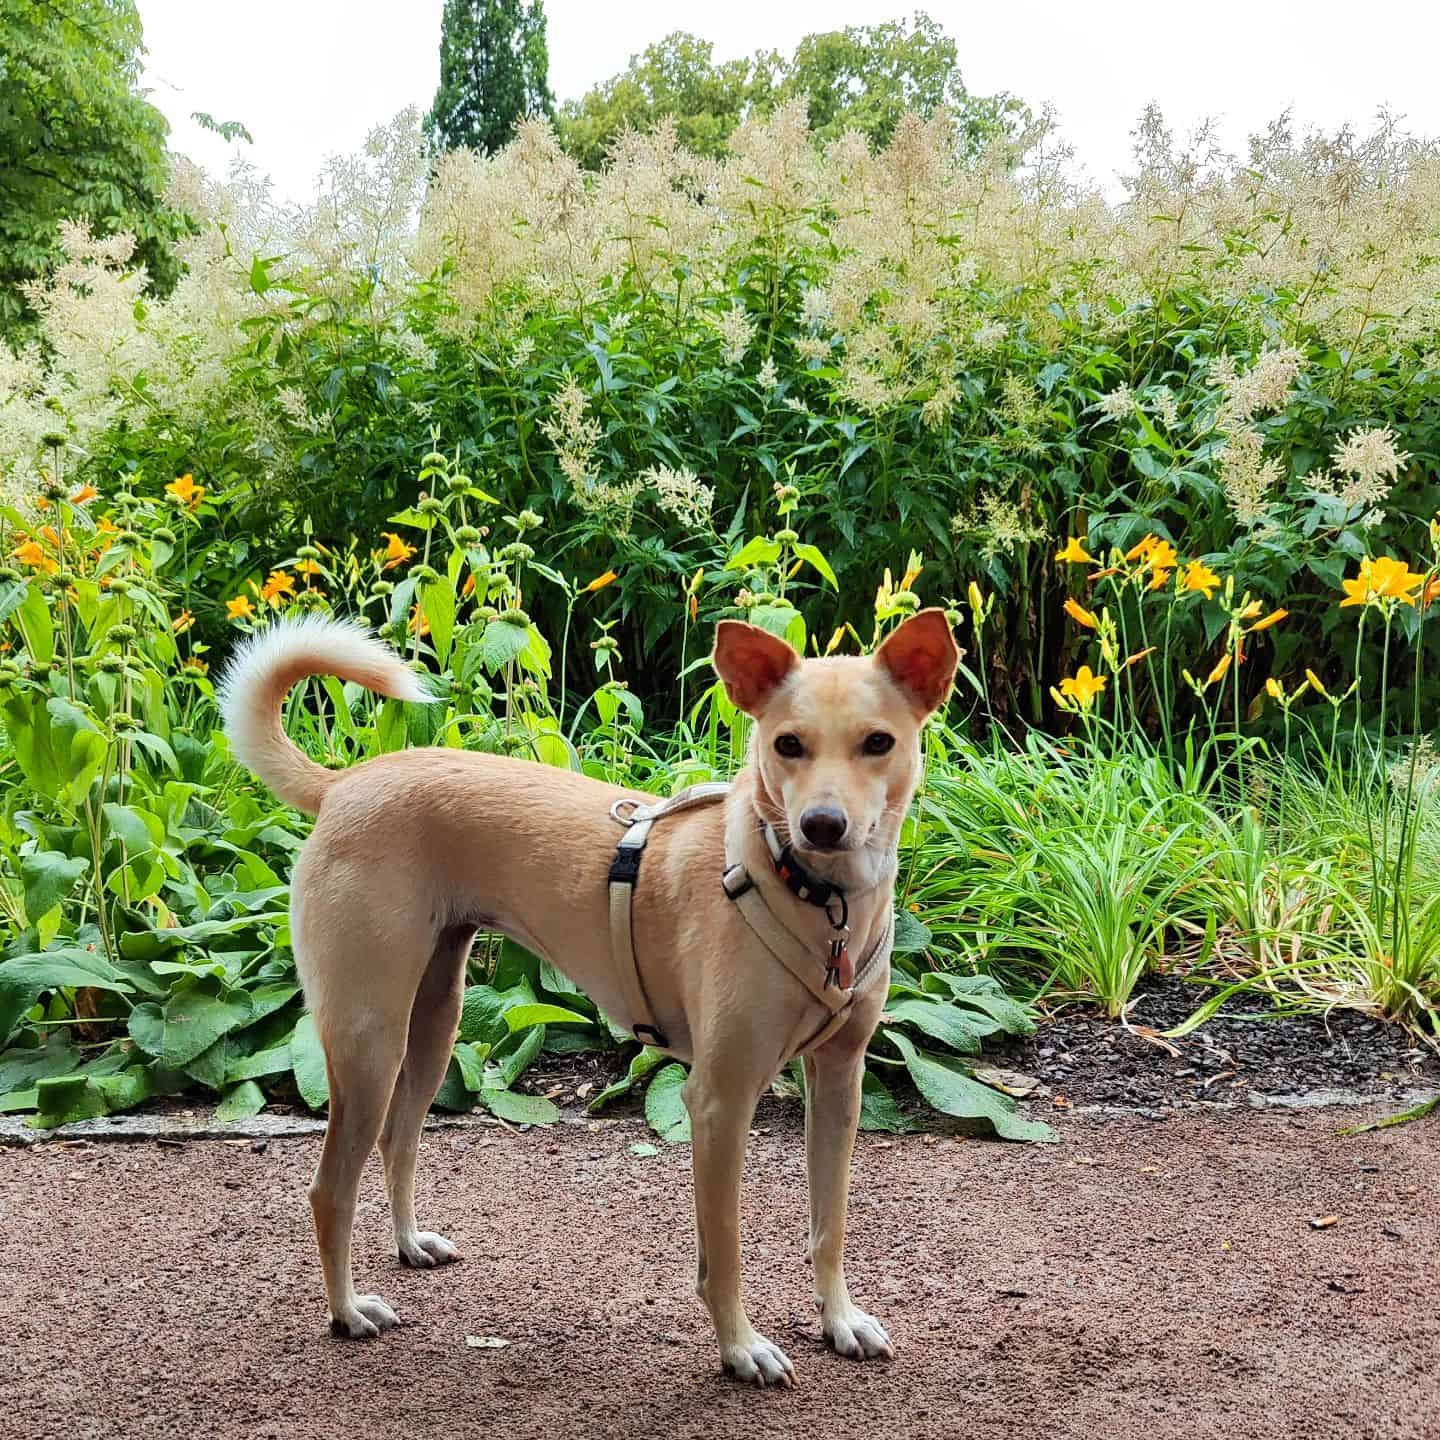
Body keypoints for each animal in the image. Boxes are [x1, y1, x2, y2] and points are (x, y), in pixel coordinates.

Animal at [218, 610, 956, 1382]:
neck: (810, 892)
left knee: (398, 1138)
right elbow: (723, 1251)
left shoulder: (839, 1085)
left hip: (433, 1024)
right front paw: (740, 1347)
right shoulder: (719, 1103)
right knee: (330, 1188)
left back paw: (409, 1242)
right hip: (369, 1039)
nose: (822, 825)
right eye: (788, 744)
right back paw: (346, 1310)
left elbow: (829, 1223)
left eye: (878, 742)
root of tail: (346, 781)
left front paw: (839, 1320)